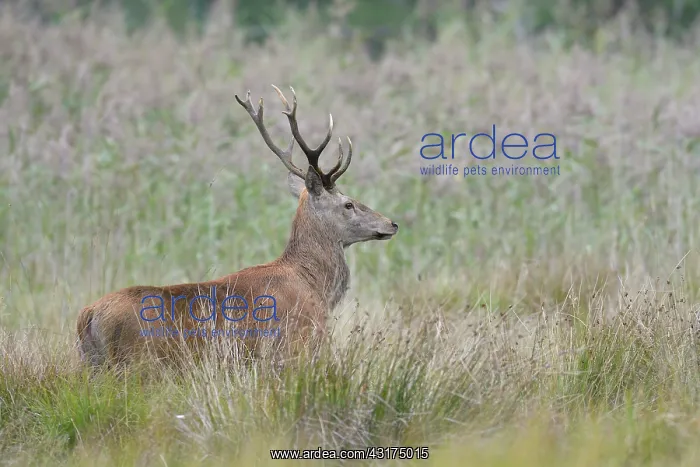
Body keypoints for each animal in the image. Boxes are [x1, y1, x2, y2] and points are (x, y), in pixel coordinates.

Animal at [76, 84, 399, 368]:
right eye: (348, 204)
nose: (392, 223)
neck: (315, 287)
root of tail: (87, 316)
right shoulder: (294, 347)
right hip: (134, 364)